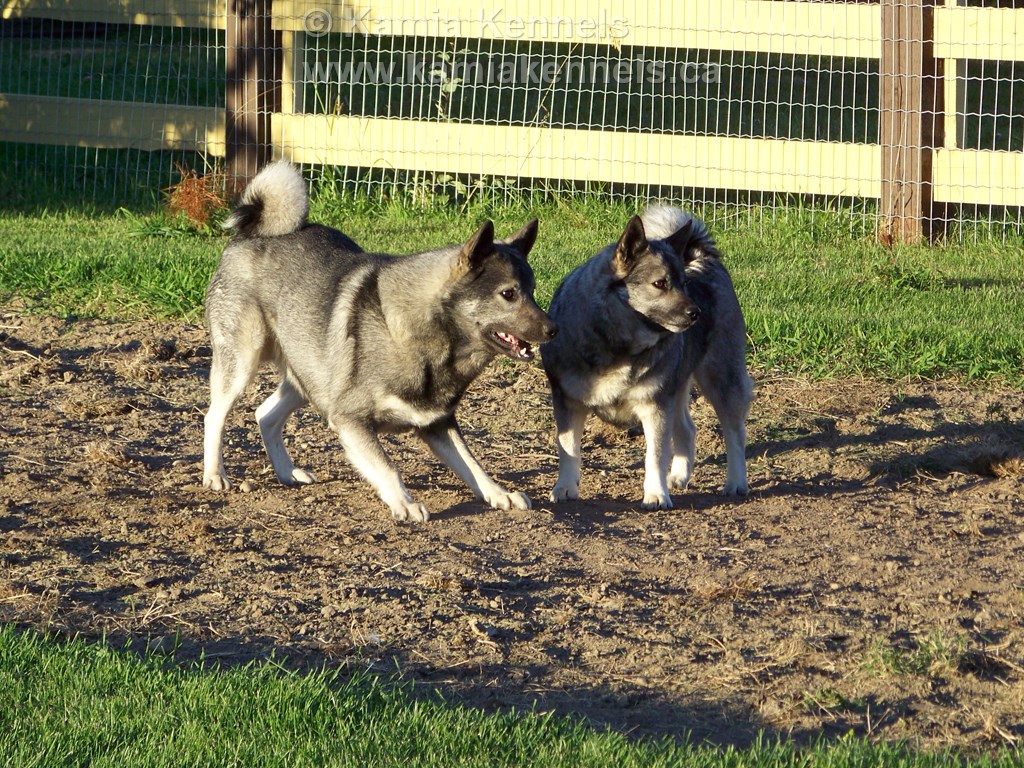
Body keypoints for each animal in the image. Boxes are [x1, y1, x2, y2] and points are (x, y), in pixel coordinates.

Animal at [202, 161, 556, 522]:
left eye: (532, 290)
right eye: (508, 294)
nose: (553, 328)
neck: (423, 335)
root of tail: (249, 235)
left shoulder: (438, 424)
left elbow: (473, 464)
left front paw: (499, 494)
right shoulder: (350, 419)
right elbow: (388, 467)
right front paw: (405, 503)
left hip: (312, 377)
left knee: (265, 415)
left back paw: (287, 472)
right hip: (243, 363)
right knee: (215, 417)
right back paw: (215, 475)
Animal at [540, 205, 752, 509]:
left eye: (684, 283)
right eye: (659, 283)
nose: (696, 313)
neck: (617, 347)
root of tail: (702, 256)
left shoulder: (655, 406)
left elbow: (655, 456)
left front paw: (656, 494)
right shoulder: (567, 401)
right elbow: (568, 447)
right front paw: (565, 488)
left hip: (721, 379)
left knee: (734, 433)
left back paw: (735, 482)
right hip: (678, 387)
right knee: (687, 429)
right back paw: (679, 476)